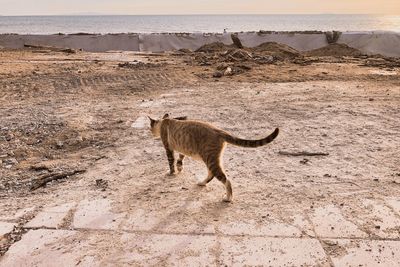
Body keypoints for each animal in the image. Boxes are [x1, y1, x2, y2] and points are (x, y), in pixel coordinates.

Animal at [148, 113, 280, 203]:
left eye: (150, 127)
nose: (150, 133)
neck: (164, 121)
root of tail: (220, 131)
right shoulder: (181, 149)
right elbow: (180, 158)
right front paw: (179, 168)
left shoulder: (168, 148)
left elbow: (171, 162)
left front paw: (171, 172)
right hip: (211, 159)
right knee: (211, 175)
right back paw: (202, 183)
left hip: (210, 159)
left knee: (226, 180)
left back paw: (228, 198)